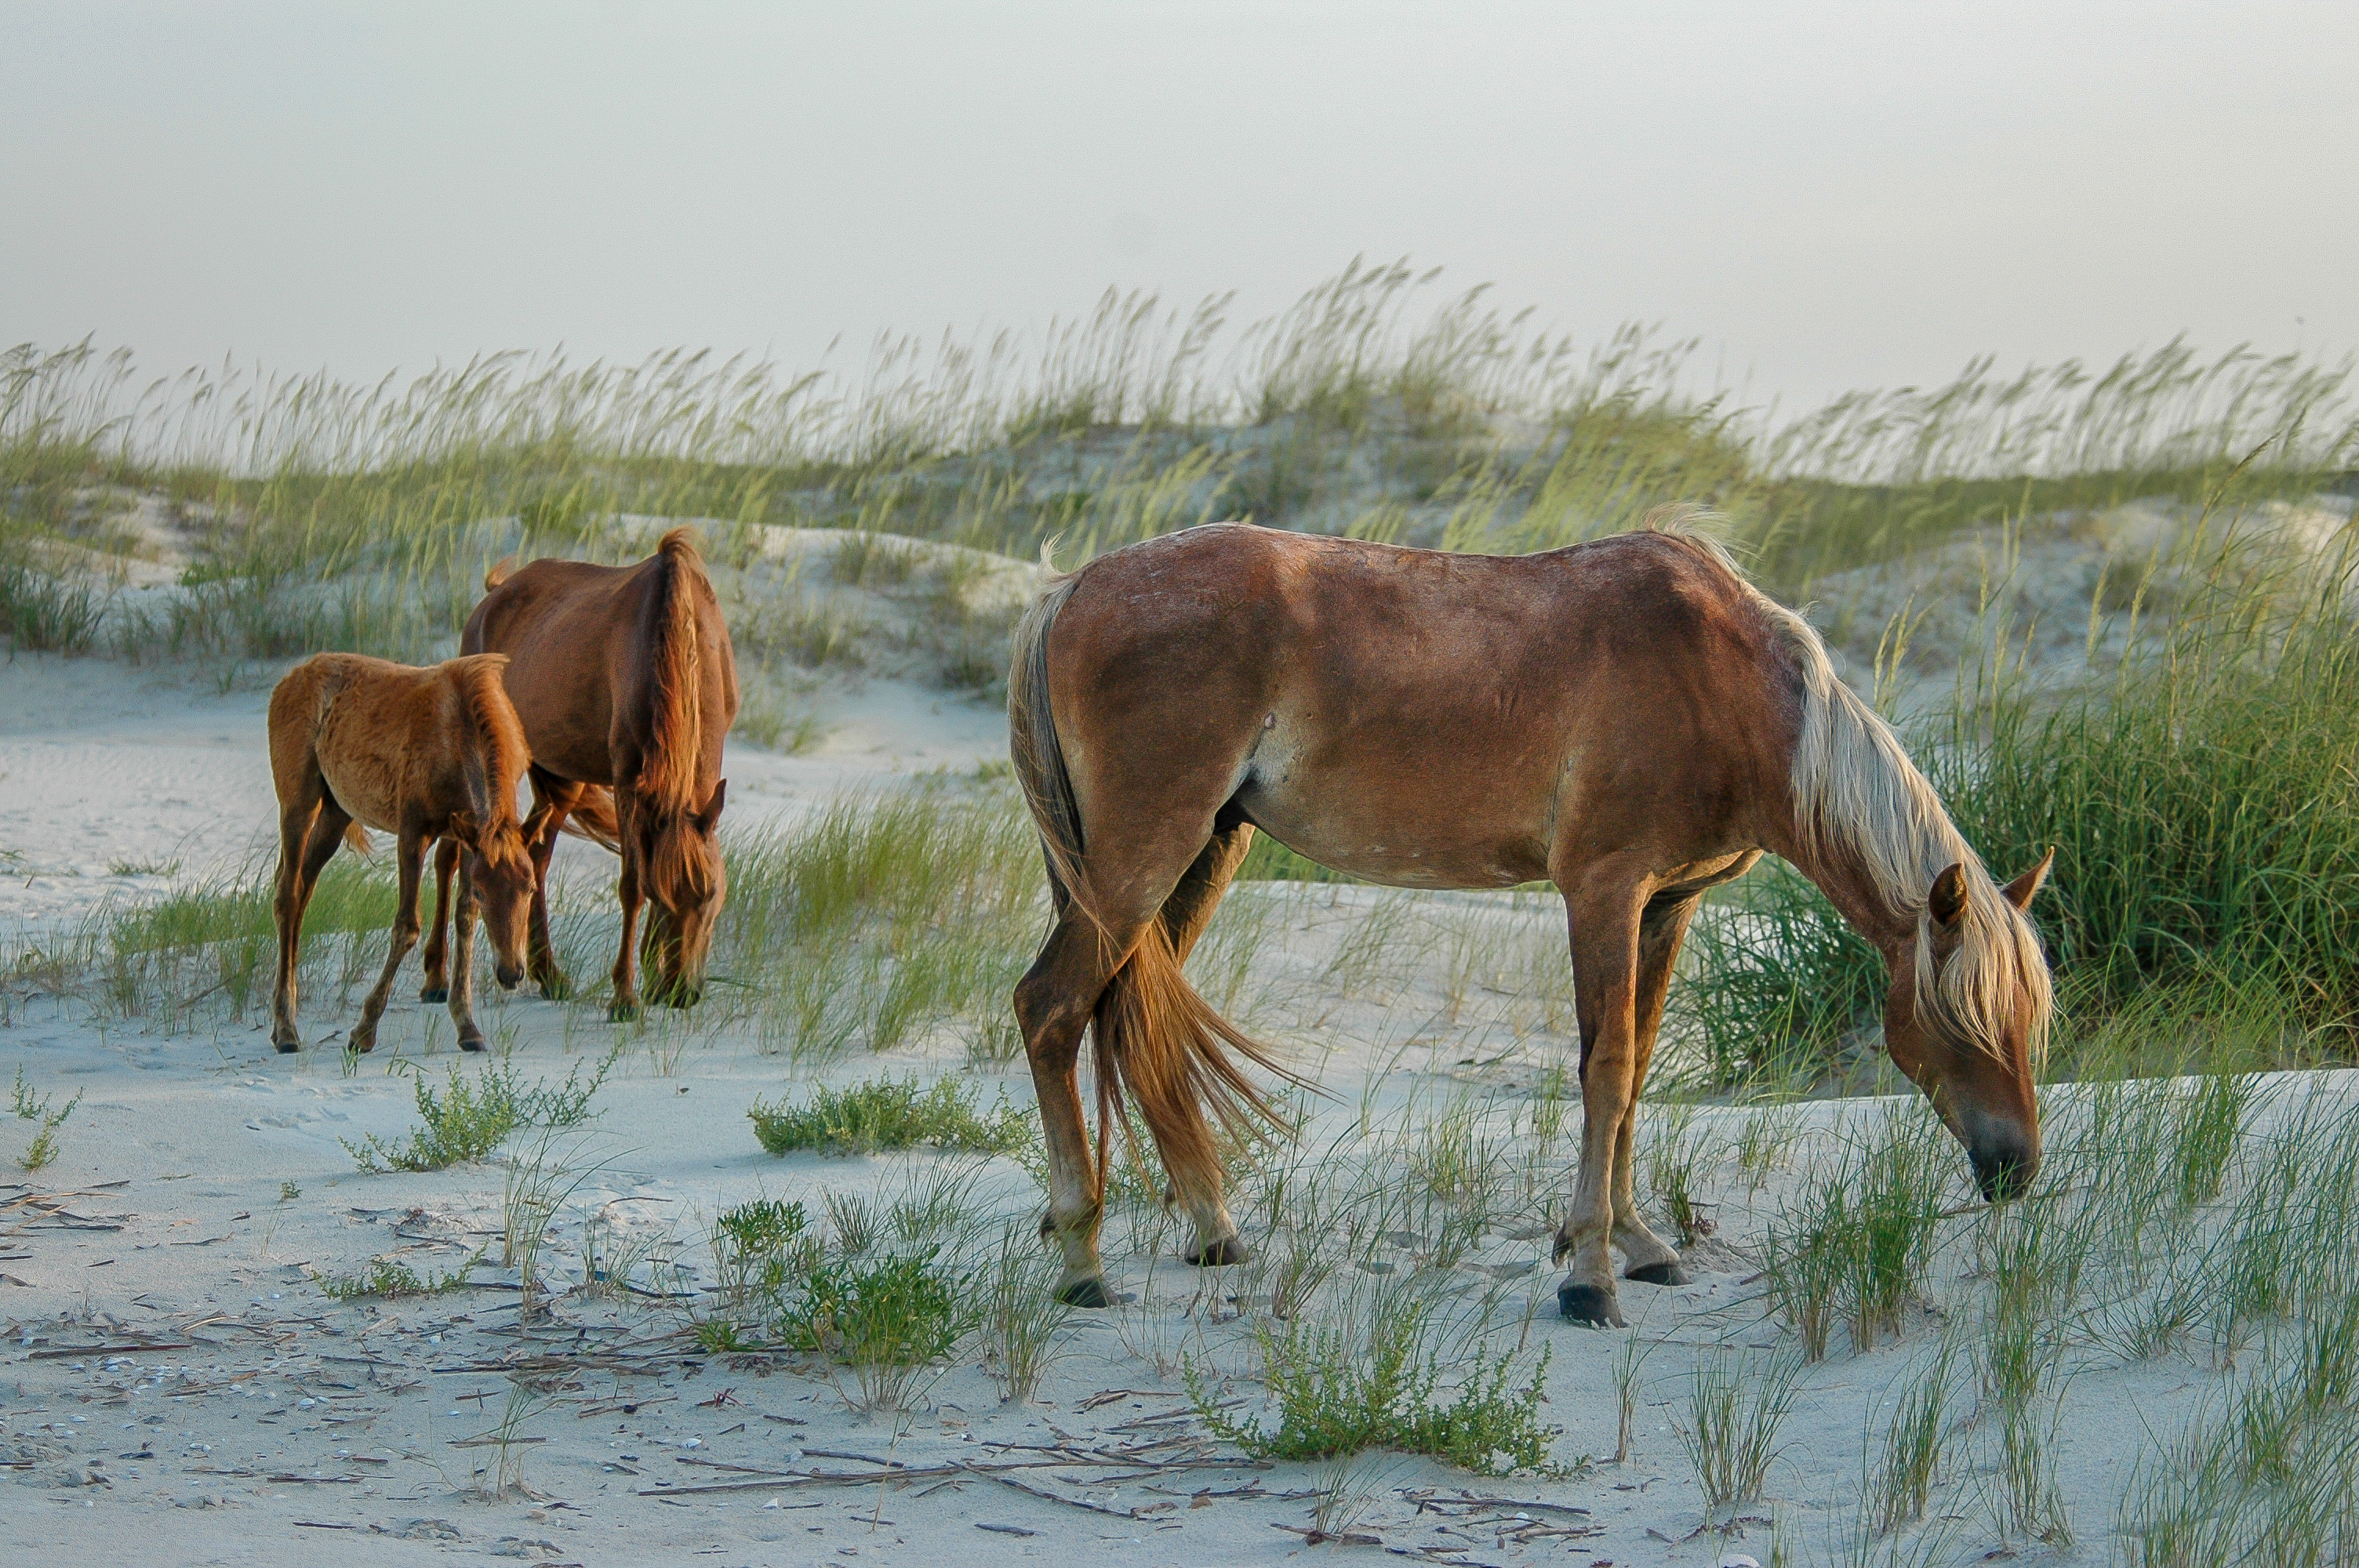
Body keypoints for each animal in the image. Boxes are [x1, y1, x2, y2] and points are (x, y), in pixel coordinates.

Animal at [268, 646, 540, 1051]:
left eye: (531, 888)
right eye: (484, 891)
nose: (511, 972)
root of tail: (287, 679)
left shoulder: (463, 834)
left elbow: (464, 918)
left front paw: (468, 1025)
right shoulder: (413, 830)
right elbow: (407, 925)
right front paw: (364, 1029)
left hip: (336, 810)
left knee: (302, 887)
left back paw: (282, 1017)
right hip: (299, 799)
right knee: (287, 893)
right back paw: (286, 1027)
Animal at [448, 525, 726, 1014]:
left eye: (710, 893)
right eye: (664, 898)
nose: (680, 992)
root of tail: (494, 594)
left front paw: (648, 978)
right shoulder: (629, 778)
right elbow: (632, 885)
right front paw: (625, 996)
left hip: (562, 779)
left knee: (535, 859)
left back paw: (548, 974)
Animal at [1005, 514, 2056, 1320]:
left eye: (2027, 1019)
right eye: (1962, 1019)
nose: (2015, 1168)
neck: (1729, 689)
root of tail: (1073, 585)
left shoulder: (1666, 903)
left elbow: (1635, 1065)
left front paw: (1638, 1240)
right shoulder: (1602, 889)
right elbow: (1605, 1068)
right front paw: (1589, 1272)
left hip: (1202, 855)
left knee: (1125, 1017)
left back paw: (1210, 1228)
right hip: (1143, 858)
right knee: (1050, 1008)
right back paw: (1081, 1257)